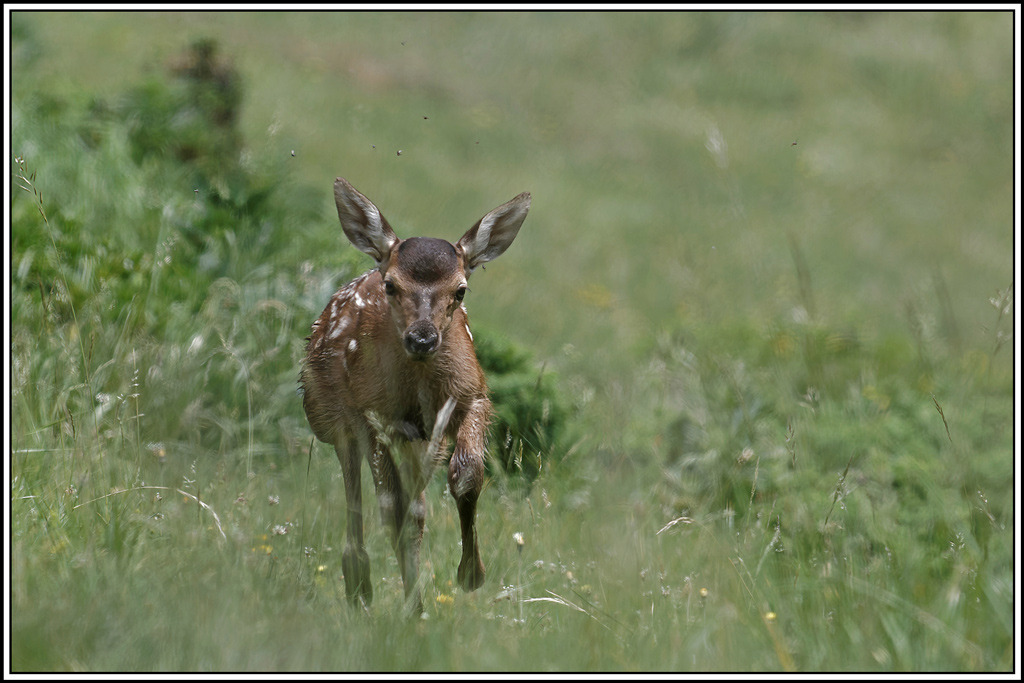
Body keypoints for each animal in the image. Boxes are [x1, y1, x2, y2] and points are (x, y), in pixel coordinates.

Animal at [301, 177, 531, 615]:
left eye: (461, 290)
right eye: (391, 285)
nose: (422, 339)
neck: (420, 392)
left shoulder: (474, 395)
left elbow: (466, 474)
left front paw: (471, 574)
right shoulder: (369, 413)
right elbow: (391, 508)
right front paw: (414, 607)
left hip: (419, 441)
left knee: (417, 506)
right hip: (332, 417)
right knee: (365, 493)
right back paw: (360, 584)